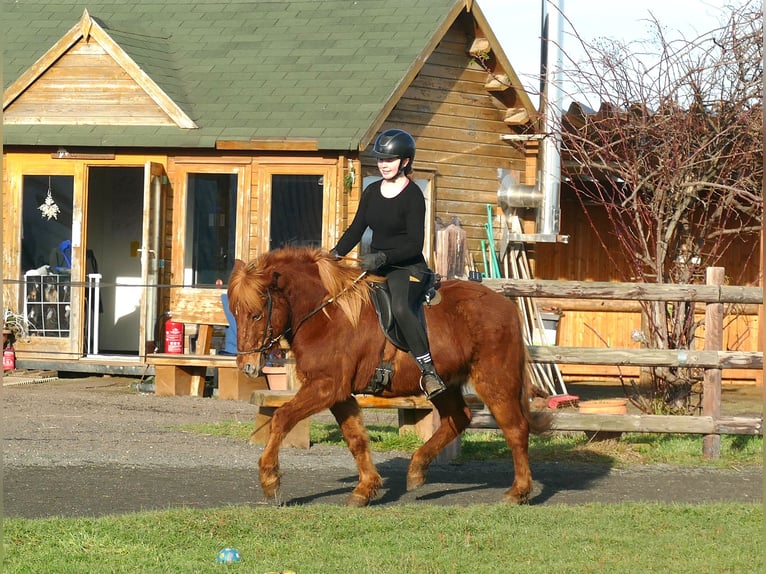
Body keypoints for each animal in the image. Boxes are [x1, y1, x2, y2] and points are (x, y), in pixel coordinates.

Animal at [228, 247, 551, 506]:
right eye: (235, 312)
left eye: (257, 314)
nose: (247, 366)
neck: (327, 314)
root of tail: (506, 305)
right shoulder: (339, 393)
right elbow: (356, 439)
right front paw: (365, 489)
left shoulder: (326, 387)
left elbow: (281, 418)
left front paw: (270, 480)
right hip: (445, 384)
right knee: (458, 418)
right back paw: (417, 469)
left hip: (495, 380)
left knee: (515, 429)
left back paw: (518, 491)